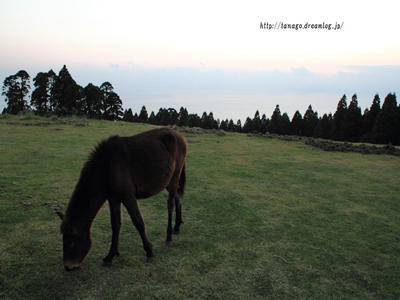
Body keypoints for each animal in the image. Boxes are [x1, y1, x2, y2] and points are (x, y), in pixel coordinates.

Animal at [56, 127, 188, 270]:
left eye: (71, 242)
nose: (68, 266)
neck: (106, 167)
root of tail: (179, 136)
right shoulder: (113, 198)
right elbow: (115, 224)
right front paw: (111, 255)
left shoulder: (128, 197)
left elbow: (138, 223)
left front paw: (149, 252)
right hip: (168, 182)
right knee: (178, 198)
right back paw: (177, 226)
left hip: (174, 177)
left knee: (170, 204)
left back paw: (169, 236)